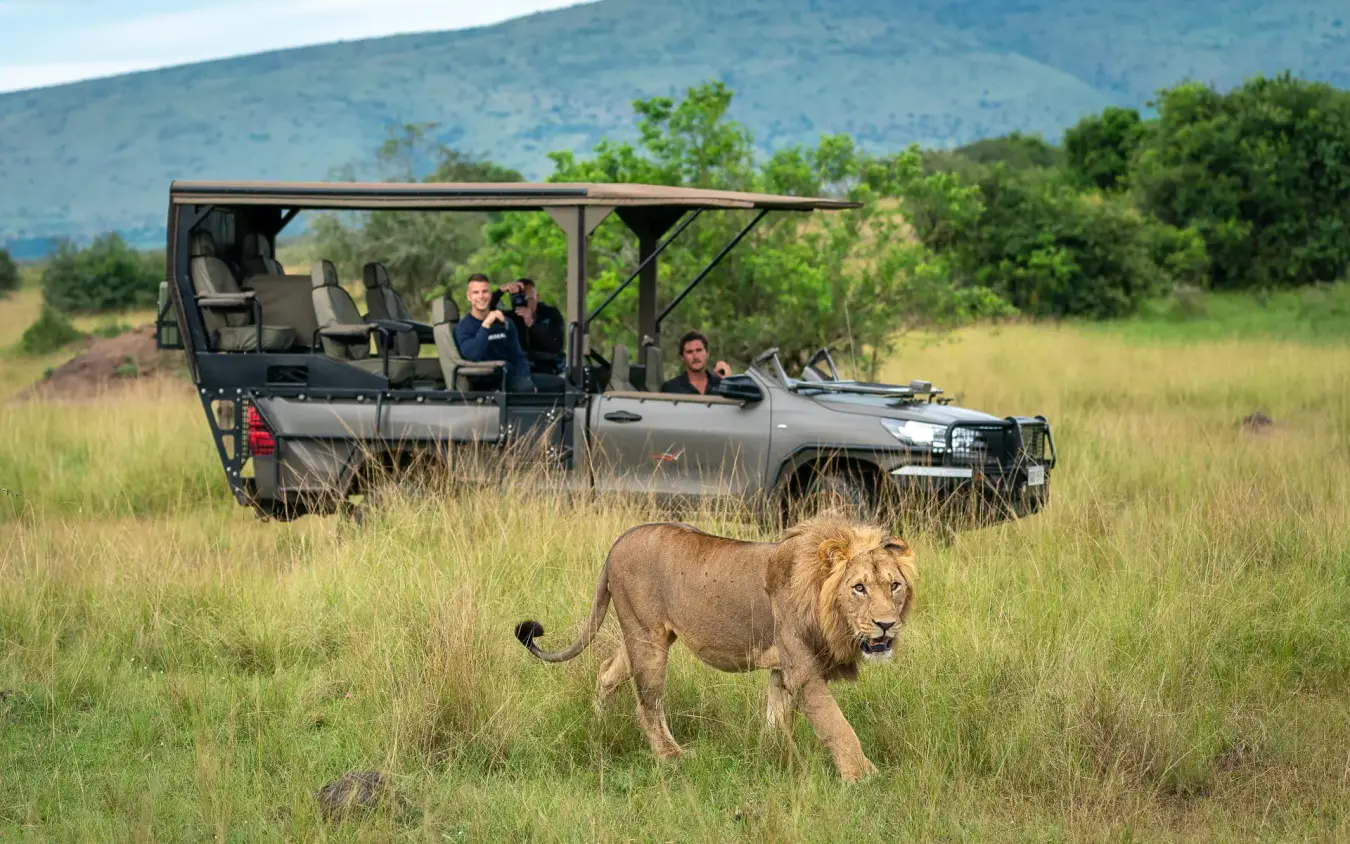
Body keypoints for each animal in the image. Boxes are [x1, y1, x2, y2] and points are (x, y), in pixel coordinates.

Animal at [513, 513, 917, 782]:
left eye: (894, 586)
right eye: (859, 588)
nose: (886, 624)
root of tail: (619, 541)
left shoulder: (781, 669)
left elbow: (776, 718)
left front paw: (773, 757)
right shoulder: (803, 670)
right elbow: (837, 725)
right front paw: (863, 776)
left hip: (642, 636)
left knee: (607, 671)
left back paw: (600, 722)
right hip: (647, 639)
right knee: (647, 705)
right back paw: (673, 757)